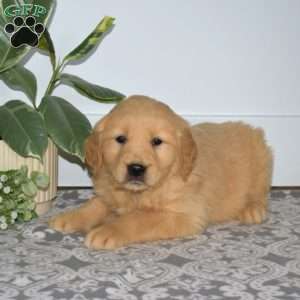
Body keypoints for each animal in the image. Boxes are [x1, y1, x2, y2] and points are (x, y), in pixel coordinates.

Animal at [49, 95, 274, 248]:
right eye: (120, 139)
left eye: (157, 141)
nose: (136, 168)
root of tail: (250, 128)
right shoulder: (110, 192)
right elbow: (95, 204)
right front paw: (70, 217)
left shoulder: (185, 215)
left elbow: (138, 218)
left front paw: (107, 230)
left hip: (262, 162)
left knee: (260, 192)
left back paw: (252, 209)